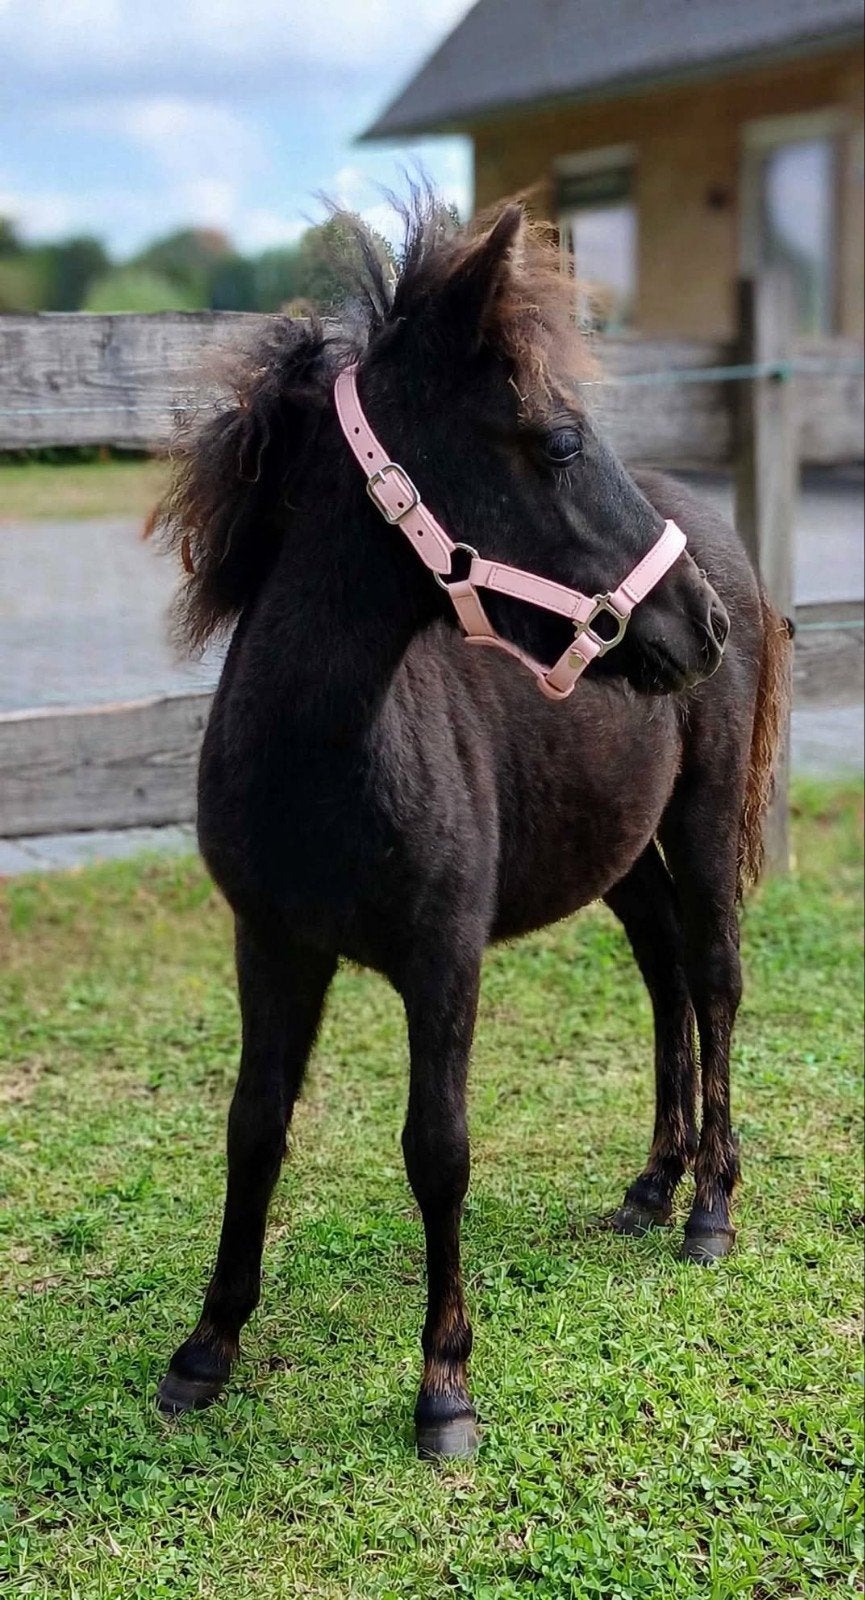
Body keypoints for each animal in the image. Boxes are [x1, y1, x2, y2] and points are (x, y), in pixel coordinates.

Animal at [154, 197, 790, 1458]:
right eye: (557, 441)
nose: (693, 623)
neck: (325, 758)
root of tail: (719, 536)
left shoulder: (442, 955)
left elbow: (435, 1148)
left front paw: (444, 1383)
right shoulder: (270, 944)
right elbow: (254, 1125)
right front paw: (206, 1348)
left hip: (696, 826)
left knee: (714, 977)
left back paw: (710, 1208)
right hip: (616, 849)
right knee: (664, 975)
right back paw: (652, 1184)